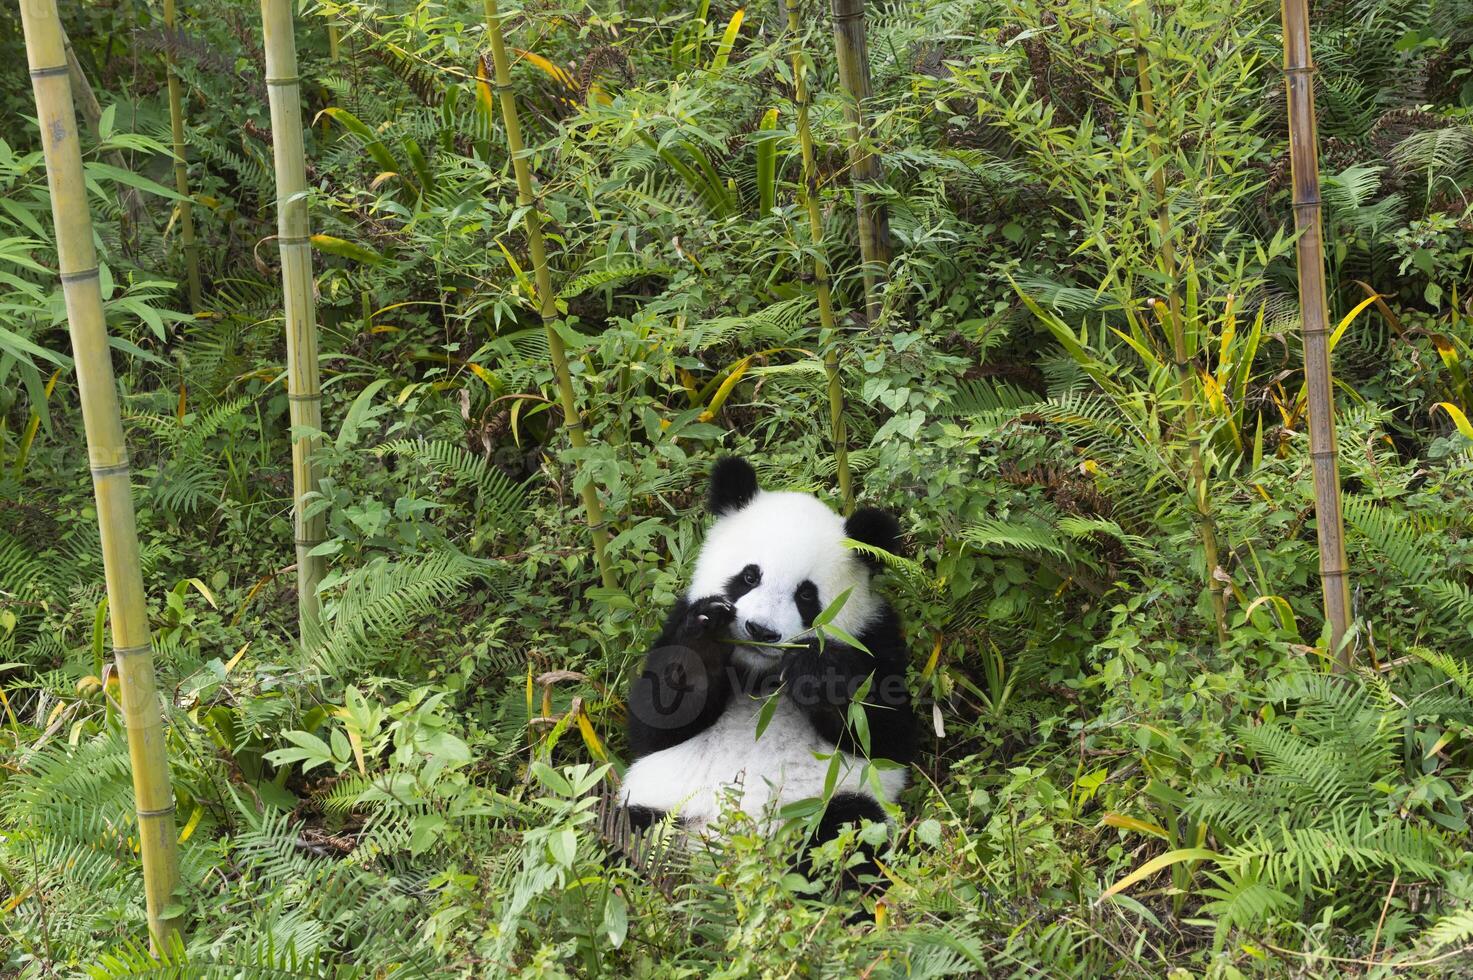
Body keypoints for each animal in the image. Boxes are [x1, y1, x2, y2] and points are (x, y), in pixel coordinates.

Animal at [615, 453, 913, 854]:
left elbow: (884, 734)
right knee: (621, 832)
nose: (761, 631)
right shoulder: (678, 619)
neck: (759, 676)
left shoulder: (874, 636)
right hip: (660, 807)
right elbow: (656, 721)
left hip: (825, 803)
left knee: (849, 825)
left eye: (806, 594)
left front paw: (816, 672)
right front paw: (708, 630)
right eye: (749, 576)